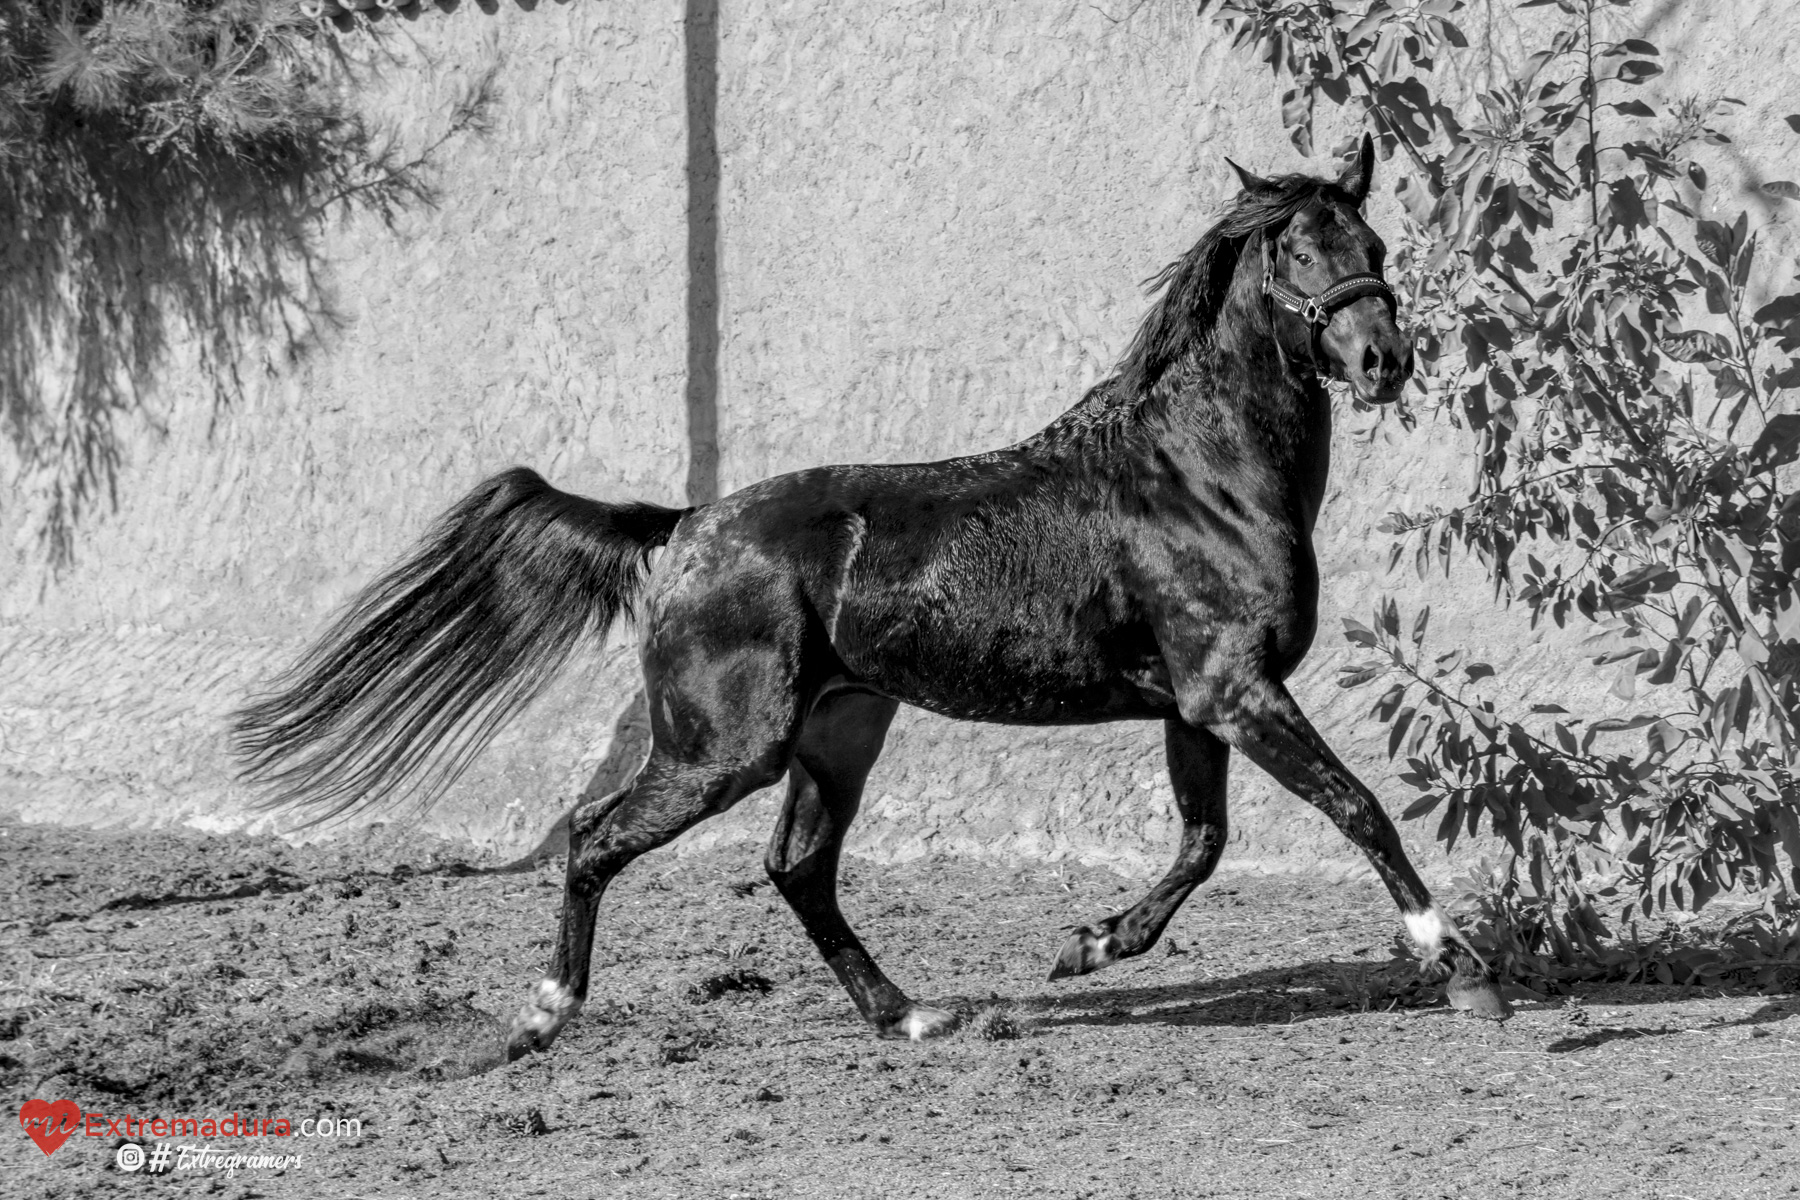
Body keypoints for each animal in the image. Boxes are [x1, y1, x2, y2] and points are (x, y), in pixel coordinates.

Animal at [233, 135, 1510, 1061]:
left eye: (1373, 238)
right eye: (1294, 252)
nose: (1384, 358)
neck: (1194, 477)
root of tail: (684, 528)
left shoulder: (1196, 703)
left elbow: (1203, 843)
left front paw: (1091, 945)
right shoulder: (1234, 690)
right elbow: (1357, 810)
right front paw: (1461, 970)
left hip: (840, 727)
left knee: (797, 868)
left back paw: (909, 1015)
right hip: (724, 748)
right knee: (597, 840)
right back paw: (544, 1016)